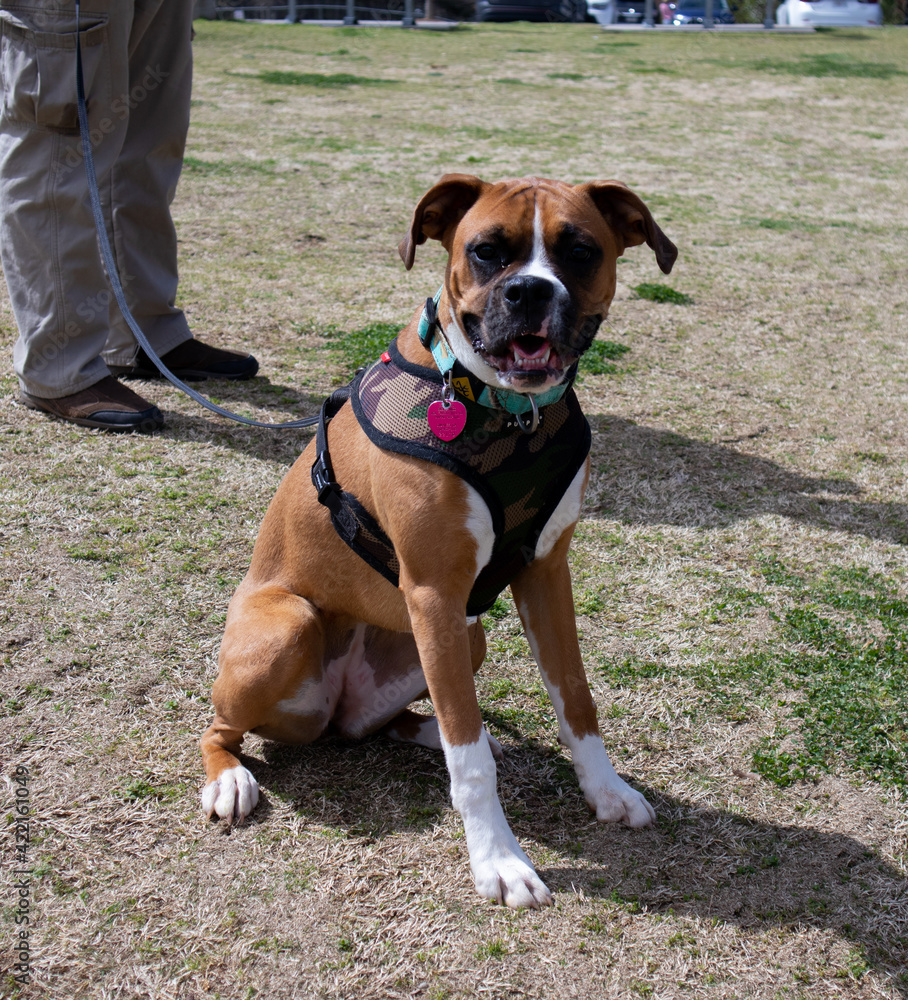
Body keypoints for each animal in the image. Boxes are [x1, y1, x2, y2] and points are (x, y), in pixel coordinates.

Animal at [202, 174, 676, 908]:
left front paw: (606, 790)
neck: (508, 411)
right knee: (220, 726)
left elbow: (574, 697)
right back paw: (228, 777)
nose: (529, 291)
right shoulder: (432, 591)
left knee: (388, 722)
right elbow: (471, 759)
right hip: (290, 628)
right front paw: (499, 860)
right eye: (485, 251)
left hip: (464, 635)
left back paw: (424, 729)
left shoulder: (545, 571)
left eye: (580, 251)